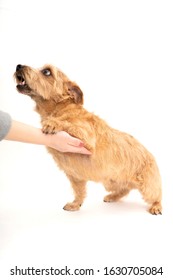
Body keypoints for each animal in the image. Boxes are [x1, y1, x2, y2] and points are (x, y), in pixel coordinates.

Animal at [14, 64, 162, 214]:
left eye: (46, 72)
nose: (19, 65)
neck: (62, 109)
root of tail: (150, 155)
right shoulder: (75, 176)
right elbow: (79, 192)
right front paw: (75, 204)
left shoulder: (86, 137)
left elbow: (68, 125)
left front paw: (53, 123)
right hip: (112, 181)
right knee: (125, 189)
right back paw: (113, 196)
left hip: (147, 186)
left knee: (157, 194)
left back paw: (156, 206)